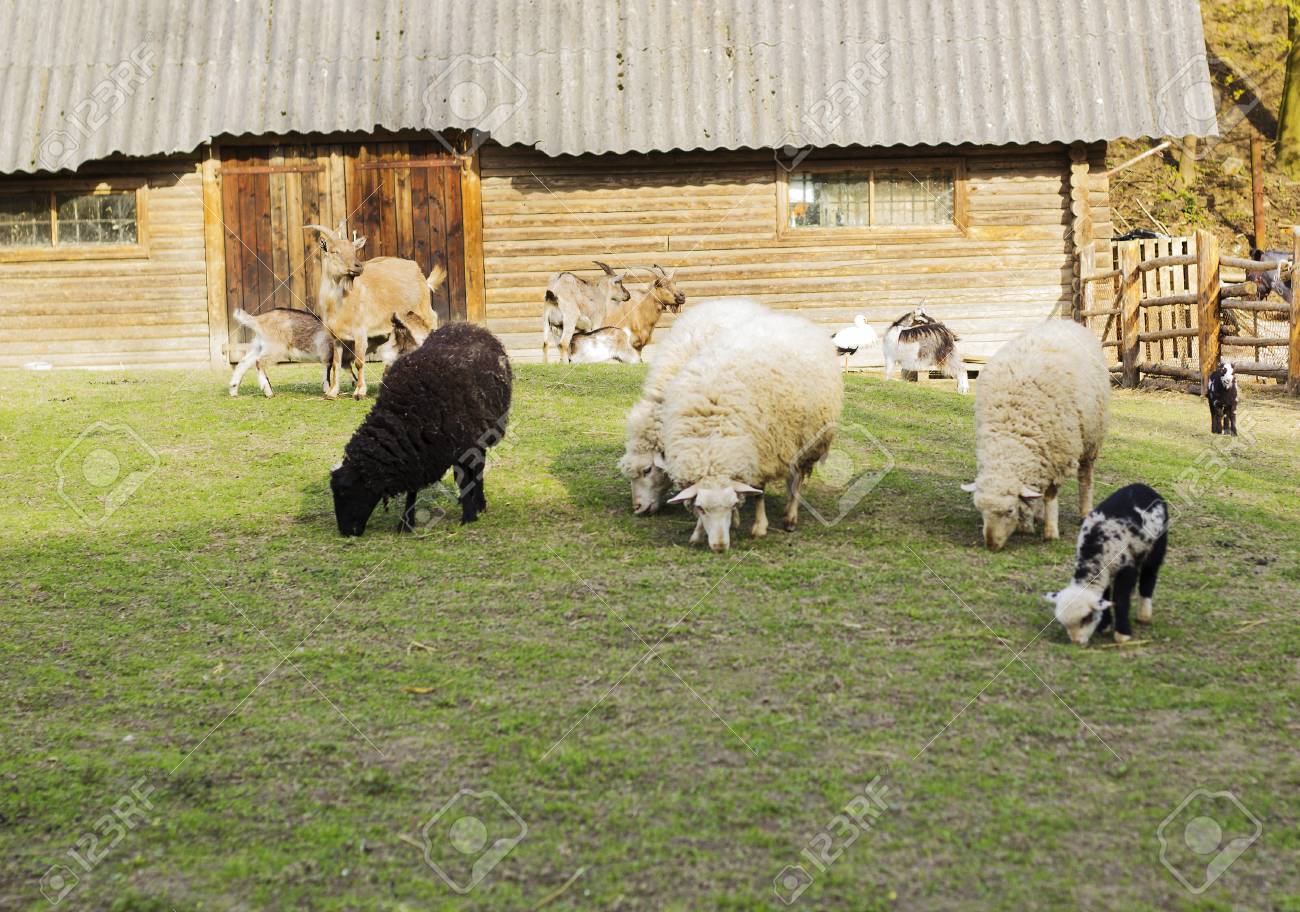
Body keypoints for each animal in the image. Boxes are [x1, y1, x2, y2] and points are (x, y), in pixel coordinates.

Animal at [330, 323, 512, 536]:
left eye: (345, 491)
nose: (345, 532)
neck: (408, 412)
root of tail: (467, 325)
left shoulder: (462, 444)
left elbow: (465, 478)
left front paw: (468, 516)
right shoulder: (417, 451)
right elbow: (413, 489)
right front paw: (406, 523)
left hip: (482, 433)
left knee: (478, 469)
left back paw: (479, 503)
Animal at [659, 305, 844, 551]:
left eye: (731, 506)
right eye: (701, 508)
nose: (720, 547)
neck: (712, 438)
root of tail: (797, 320)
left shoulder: (762, 453)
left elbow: (759, 494)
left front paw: (759, 527)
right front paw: (698, 533)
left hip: (810, 440)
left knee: (798, 481)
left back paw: (791, 518)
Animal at [961, 319, 1110, 551]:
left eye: (1009, 510)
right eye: (981, 509)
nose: (991, 545)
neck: (1011, 434)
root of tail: (1067, 322)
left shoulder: (1059, 454)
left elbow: (1050, 495)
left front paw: (1050, 532)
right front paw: (1027, 525)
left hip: (1091, 437)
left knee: (1086, 476)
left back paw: (1084, 512)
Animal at [1044, 483, 1169, 645]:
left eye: (1086, 618)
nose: (1077, 642)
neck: (1094, 549)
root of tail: (1144, 486)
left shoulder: (1126, 566)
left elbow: (1121, 599)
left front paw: (1122, 634)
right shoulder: (1105, 572)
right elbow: (1105, 596)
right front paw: (1105, 626)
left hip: (1157, 545)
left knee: (1149, 575)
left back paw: (1144, 614)